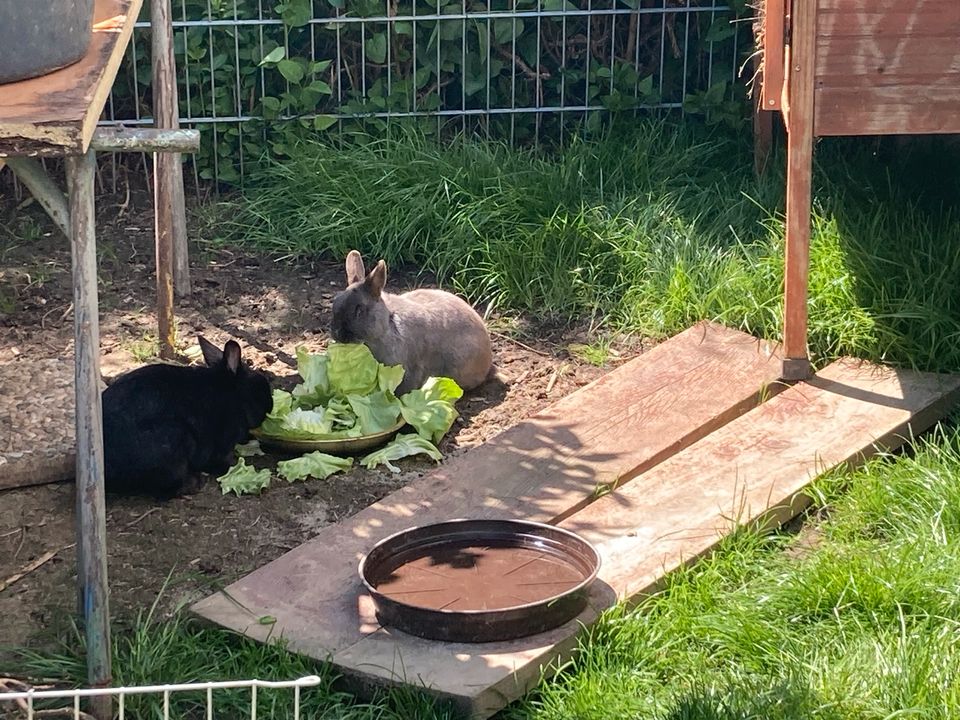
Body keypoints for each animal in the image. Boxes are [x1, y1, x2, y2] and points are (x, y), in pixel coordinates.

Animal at [101, 336, 272, 496]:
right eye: (259, 390)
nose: (270, 406)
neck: (233, 394)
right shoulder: (222, 443)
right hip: (176, 440)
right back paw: (194, 484)